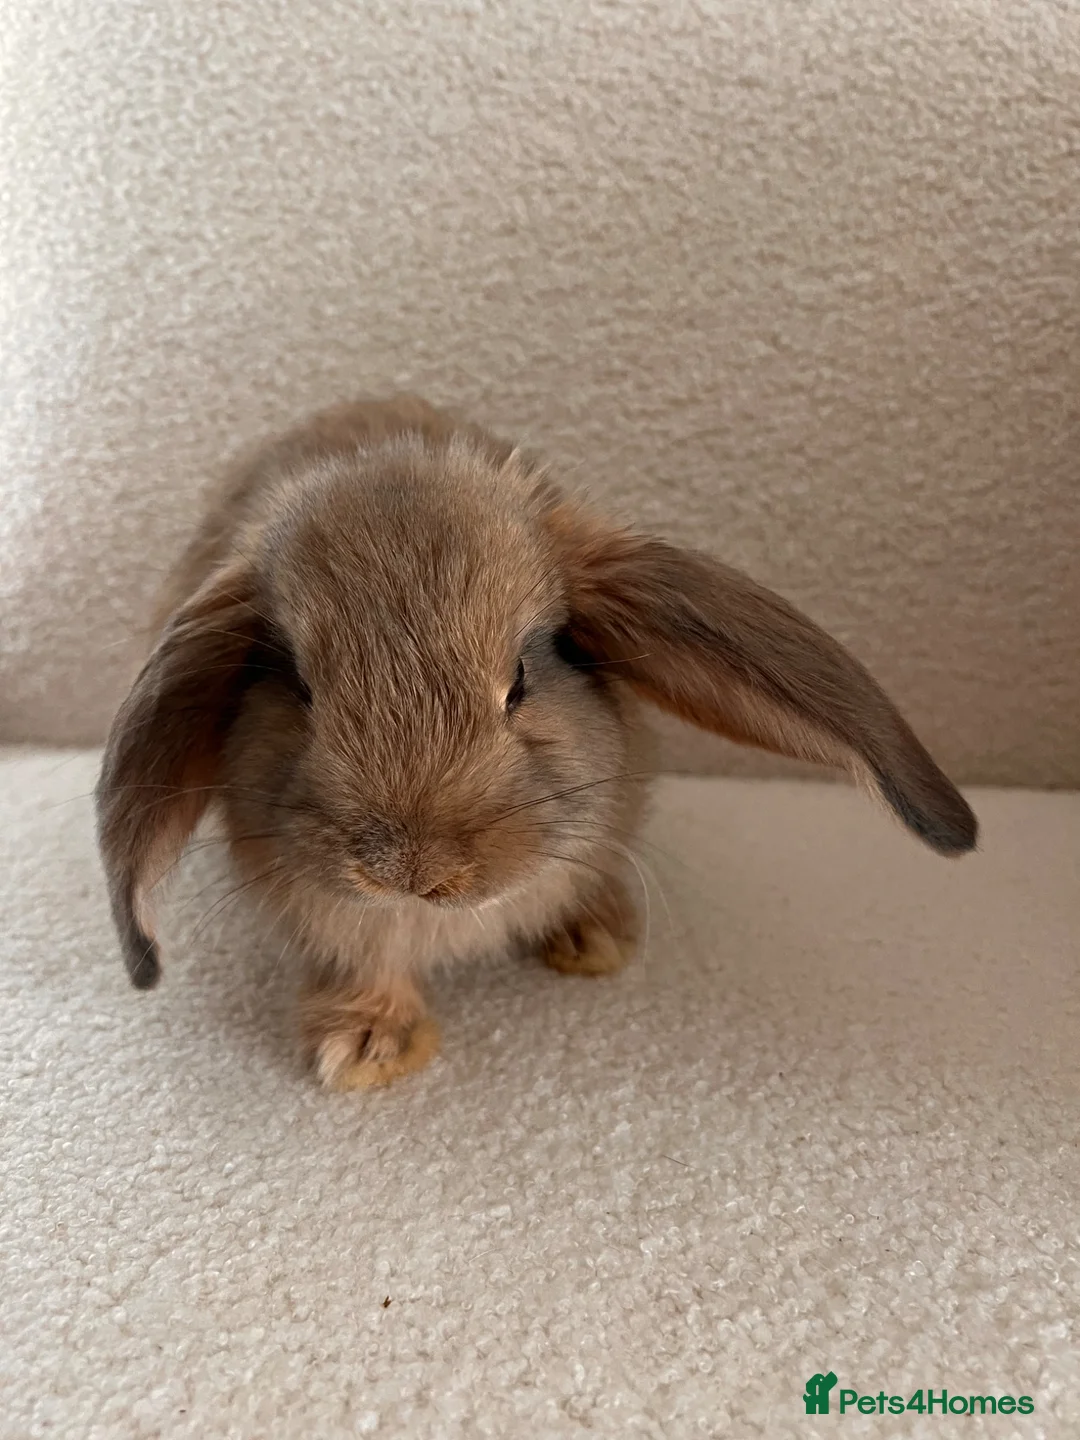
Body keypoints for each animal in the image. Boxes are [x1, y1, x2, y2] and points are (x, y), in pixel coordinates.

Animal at [96, 395, 977, 1090]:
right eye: (301, 688)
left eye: (520, 676)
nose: (410, 870)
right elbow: (364, 964)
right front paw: (367, 1049)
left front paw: (595, 939)